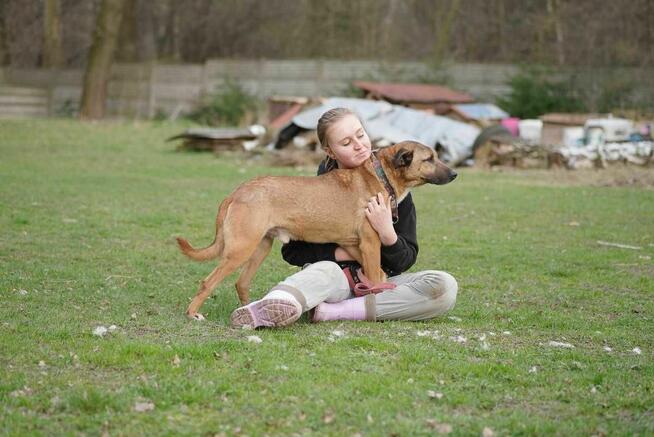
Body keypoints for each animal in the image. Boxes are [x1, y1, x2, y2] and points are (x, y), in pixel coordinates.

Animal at [177, 141, 458, 318]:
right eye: (429, 159)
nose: (455, 174)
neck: (382, 175)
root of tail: (237, 191)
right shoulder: (369, 243)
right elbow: (377, 280)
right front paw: (377, 294)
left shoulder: (353, 245)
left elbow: (376, 272)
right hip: (240, 250)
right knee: (208, 282)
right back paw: (193, 313)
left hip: (259, 247)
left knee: (241, 283)